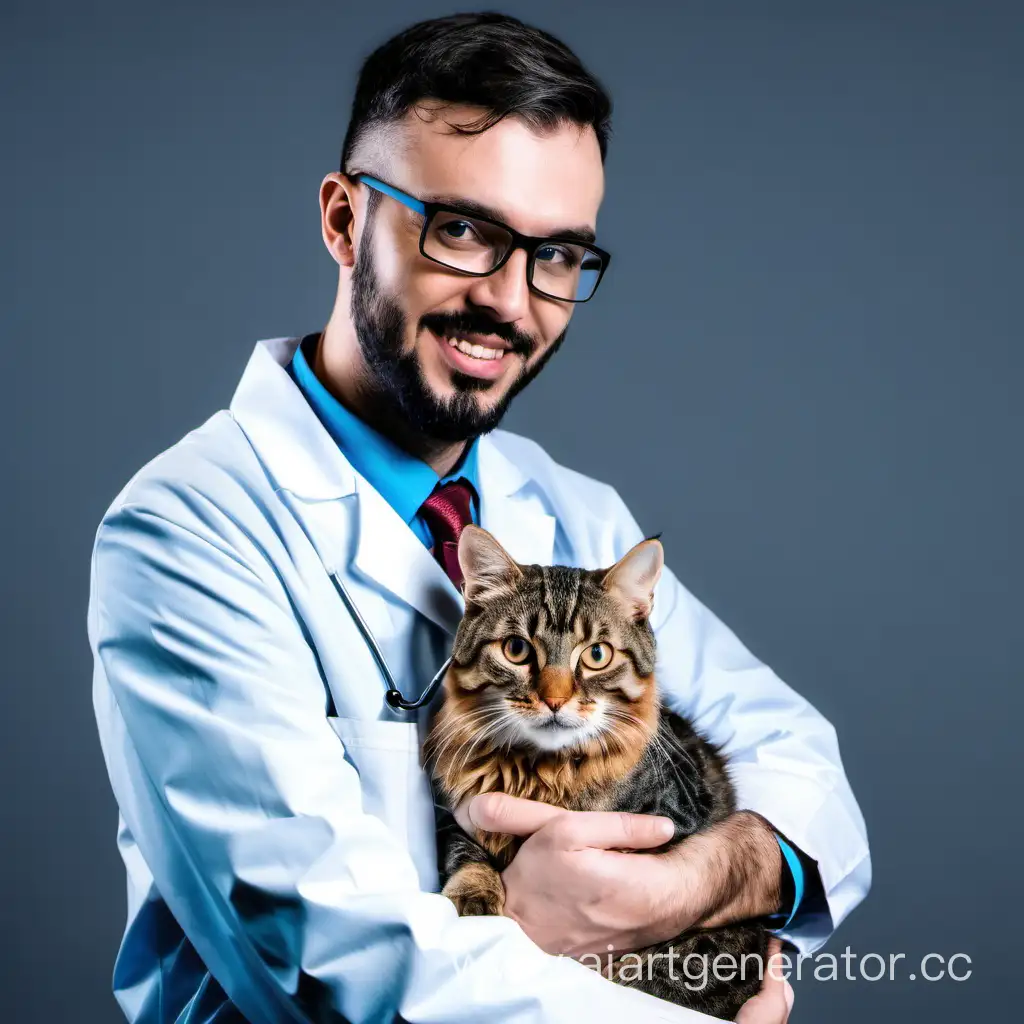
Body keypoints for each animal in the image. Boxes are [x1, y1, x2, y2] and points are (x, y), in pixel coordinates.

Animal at [421, 528, 770, 1015]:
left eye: (597, 655)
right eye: (516, 650)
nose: (554, 699)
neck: (540, 774)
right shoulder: (452, 815)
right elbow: (466, 854)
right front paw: (474, 897)